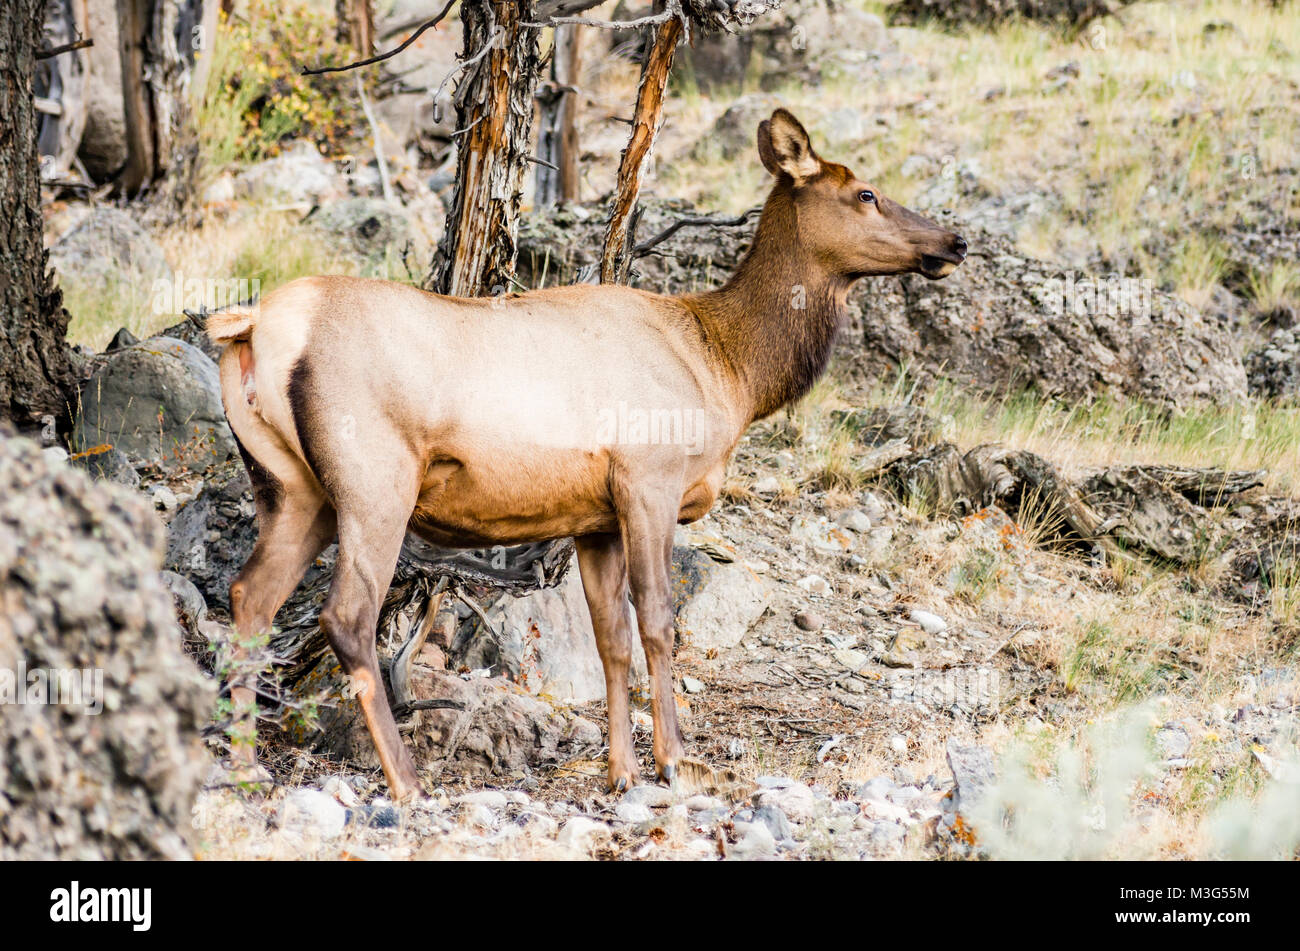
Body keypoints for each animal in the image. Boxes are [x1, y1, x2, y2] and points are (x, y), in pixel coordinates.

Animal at [208, 107, 967, 800]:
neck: (730, 372)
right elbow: (658, 622)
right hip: (374, 476)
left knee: (250, 596)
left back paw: (244, 769)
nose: (954, 240)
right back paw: (406, 781)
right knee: (346, 616)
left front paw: (620, 770)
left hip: (292, 488)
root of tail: (253, 327)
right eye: (865, 192)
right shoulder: (649, 478)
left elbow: (611, 638)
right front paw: (675, 760)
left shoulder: (594, 518)